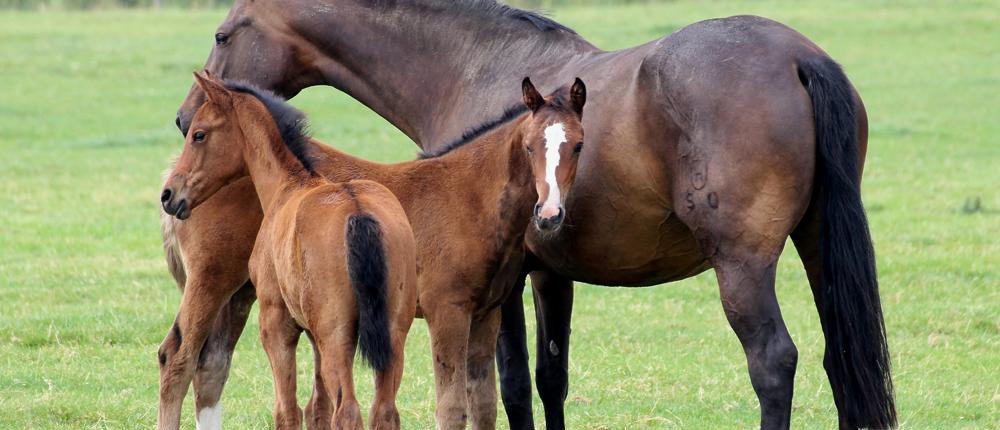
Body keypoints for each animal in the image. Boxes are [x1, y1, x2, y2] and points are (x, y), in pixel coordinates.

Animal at [163, 71, 418, 430]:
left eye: (199, 134)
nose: (169, 194)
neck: (288, 185)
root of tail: (358, 211)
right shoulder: (312, 334)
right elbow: (318, 408)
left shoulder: (276, 323)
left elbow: (288, 411)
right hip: (392, 334)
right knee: (383, 411)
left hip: (336, 336)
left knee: (348, 411)